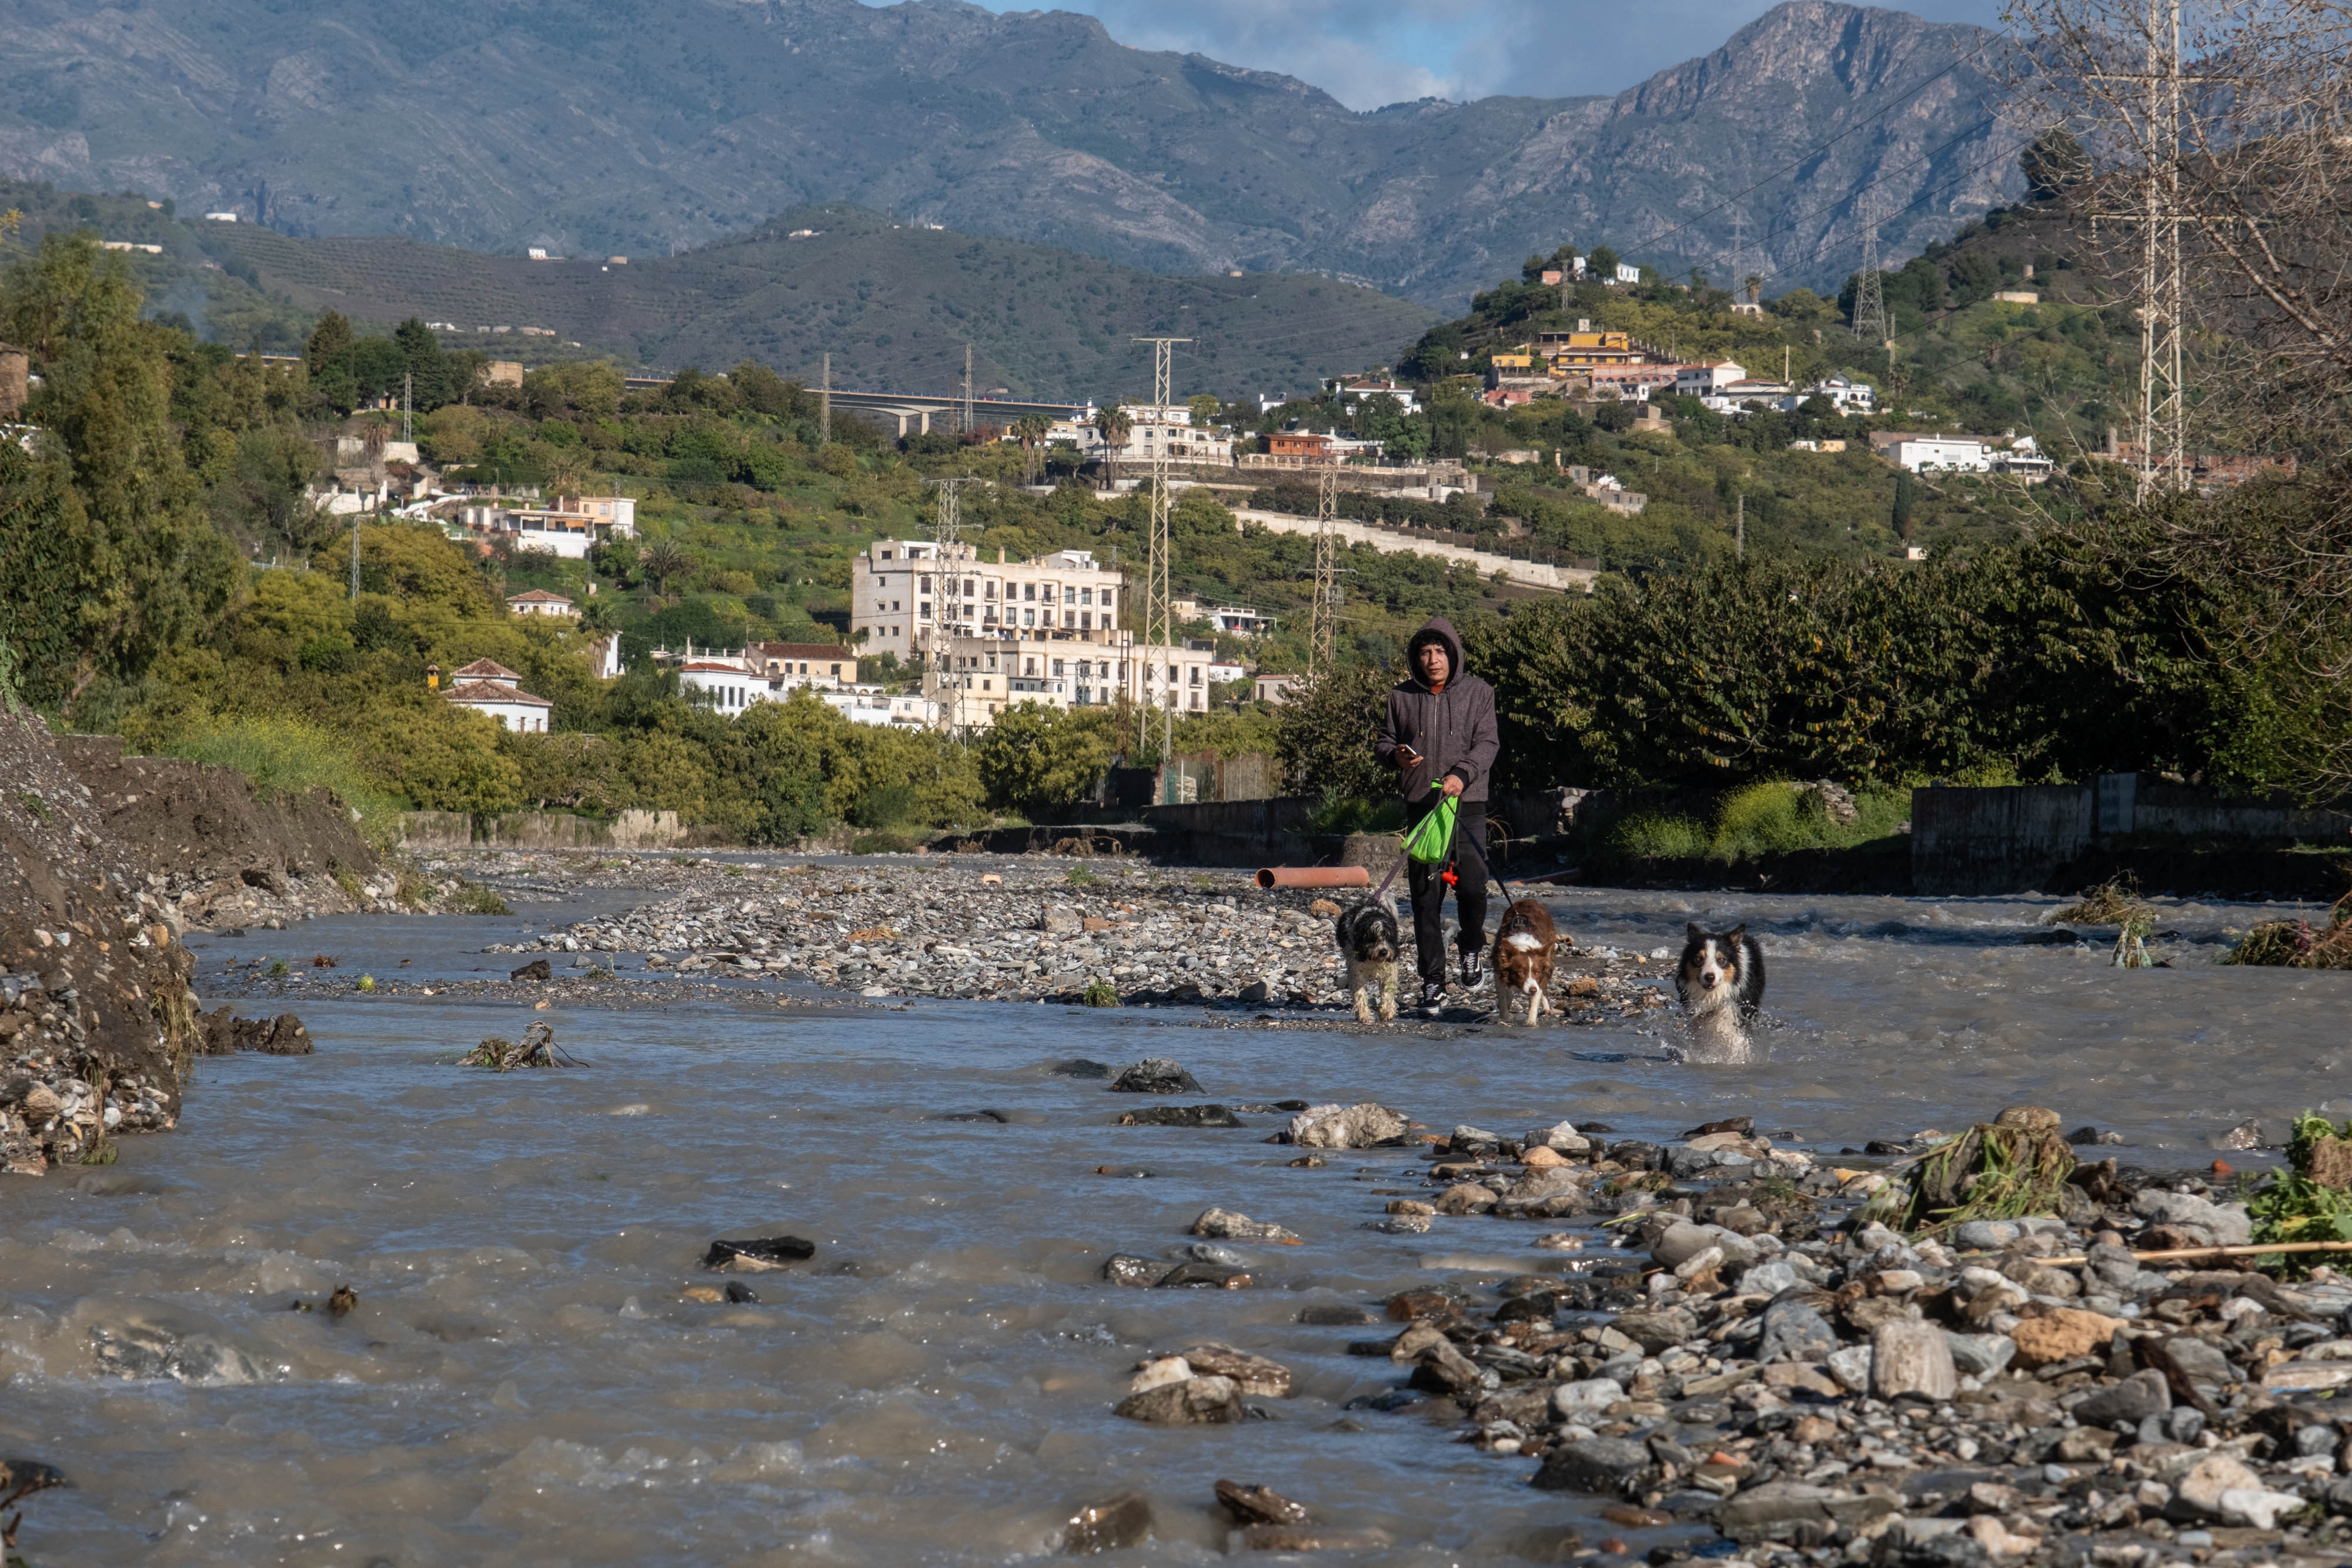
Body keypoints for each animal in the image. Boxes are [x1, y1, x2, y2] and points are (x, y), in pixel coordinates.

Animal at [1345, 893, 1392, 1029]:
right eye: (1372, 938)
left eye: (1388, 937)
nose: (1383, 952)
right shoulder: (1357, 972)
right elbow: (1360, 995)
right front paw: (1365, 1016)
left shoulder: (1389, 970)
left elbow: (1388, 992)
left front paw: (1386, 1012)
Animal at [1486, 902, 1562, 1025]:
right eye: (1521, 972)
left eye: (1537, 973)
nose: (1532, 990)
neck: (1523, 947)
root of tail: (1530, 900)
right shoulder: (1499, 973)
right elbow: (1503, 999)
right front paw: (1506, 1017)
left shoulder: (1539, 978)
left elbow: (1535, 1001)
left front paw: (1531, 1022)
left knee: (1544, 988)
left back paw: (1546, 1008)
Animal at [1675, 926, 1769, 1062]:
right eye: (1698, 959)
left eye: (1721, 960)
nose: (1709, 977)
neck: (1713, 995)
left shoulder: (1737, 1010)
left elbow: (1737, 1039)